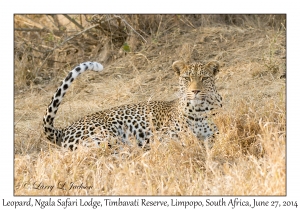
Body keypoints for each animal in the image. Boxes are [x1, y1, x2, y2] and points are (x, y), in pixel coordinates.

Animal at [44, 60, 223, 150]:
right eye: (187, 78)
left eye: (204, 78)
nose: (195, 91)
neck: (200, 109)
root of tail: (64, 130)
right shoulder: (167, 138)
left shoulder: (216, 132)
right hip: (106, 139)